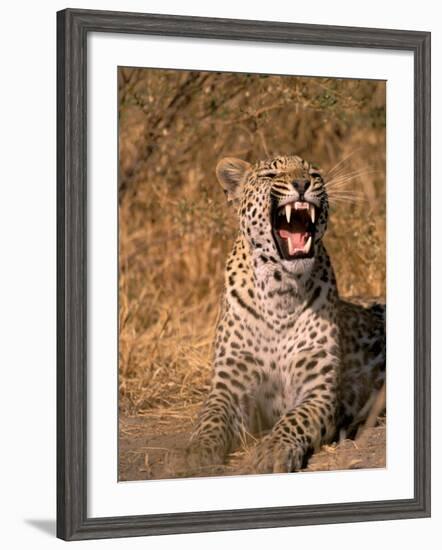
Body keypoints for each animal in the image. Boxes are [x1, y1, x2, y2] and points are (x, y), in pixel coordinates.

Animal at [185, 154, 386, 474]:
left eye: (314, 174)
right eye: (270, 175)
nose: (302, 183)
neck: (280, 291)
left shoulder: (318, 390)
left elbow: (294, 419)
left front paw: (272, 450)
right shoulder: (229, 384)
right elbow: (211, 417)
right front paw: (198, 451)